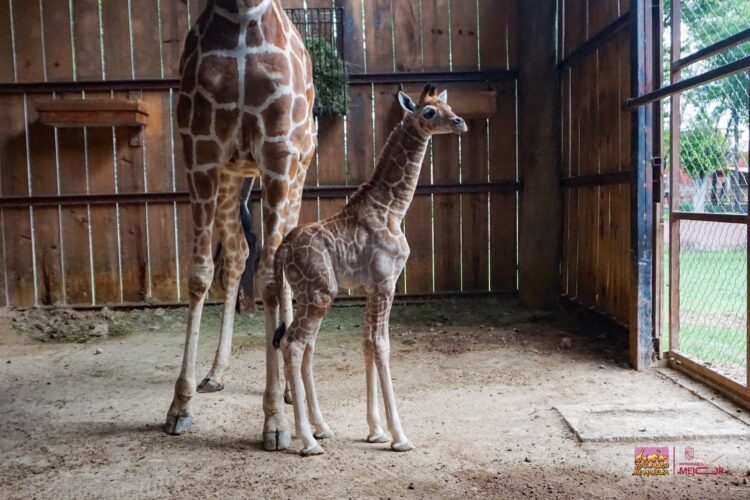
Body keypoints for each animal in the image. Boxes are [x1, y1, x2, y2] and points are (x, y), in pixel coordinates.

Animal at [164, 0, 313, 451]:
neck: (243, 15)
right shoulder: (202, 149)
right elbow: (199, 274)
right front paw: (180, 406)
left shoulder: (279, 153)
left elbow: (269, 280)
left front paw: (276, 421)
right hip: (235, 176)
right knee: (236, 255)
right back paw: (215, 372)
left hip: (298, 169)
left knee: (278, 262)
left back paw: (290, 388)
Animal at [270, 84, 468, 455]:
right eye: (429, 112)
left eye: (447, 105)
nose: (460, 122)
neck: (391, 209)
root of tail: (282, 250)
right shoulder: (386, 282)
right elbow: (381, 344)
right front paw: (399, 436)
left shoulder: (370, 287)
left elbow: (366, 343)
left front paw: (375, 430)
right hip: (320, 293)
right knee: (292, 344)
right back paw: (308, 440)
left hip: (306, 294)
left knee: (306, 347)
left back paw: (322, 427)